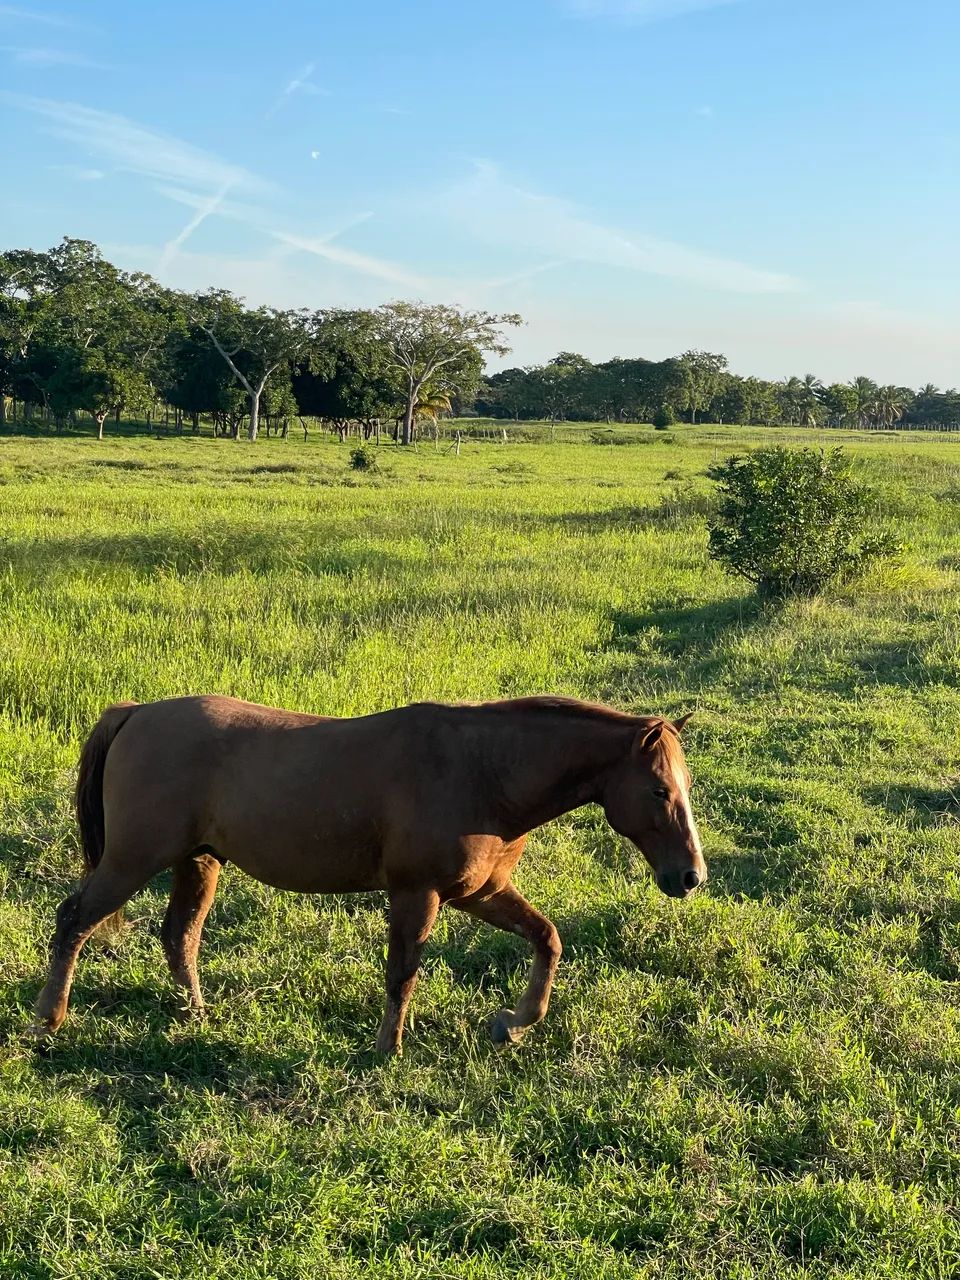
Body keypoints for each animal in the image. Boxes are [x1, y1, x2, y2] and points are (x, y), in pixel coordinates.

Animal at [32, 695, 706, 1055]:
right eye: (658, 788)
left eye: (686, 784)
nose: (691, 876)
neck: (482, 772)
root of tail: (137, 713)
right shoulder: (417, 893)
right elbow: (402, 972)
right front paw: (387, 1048)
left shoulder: (481, 892)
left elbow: (548, 938)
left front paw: (514, 1024)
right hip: (131, 861)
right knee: (75, 921)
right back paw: (49, 1018)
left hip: (196, 861)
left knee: (179, 935)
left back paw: (194, 1013)